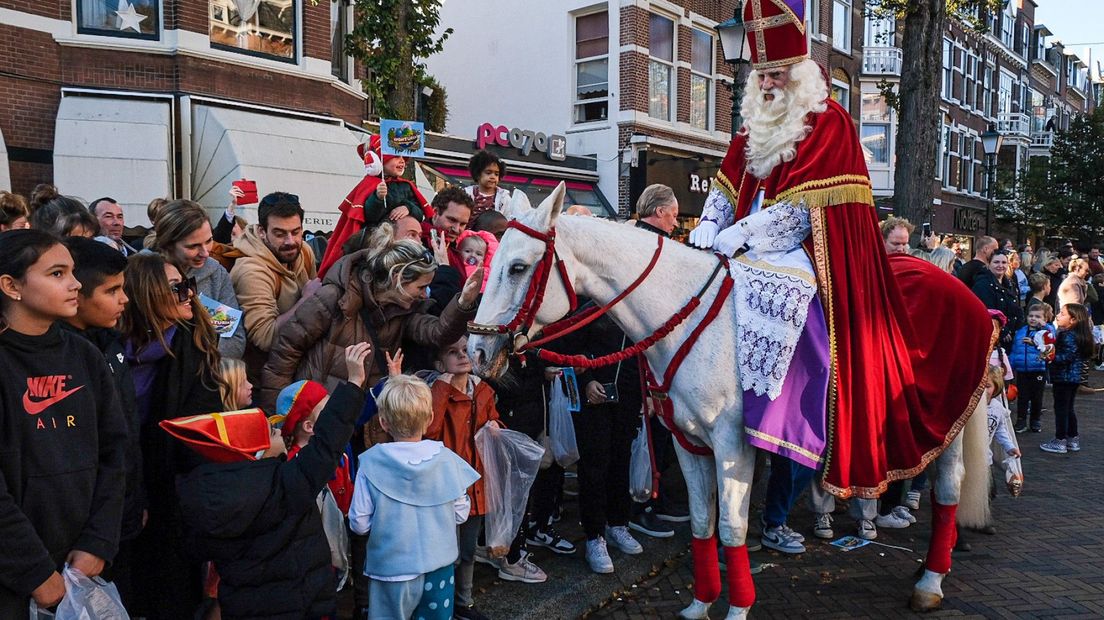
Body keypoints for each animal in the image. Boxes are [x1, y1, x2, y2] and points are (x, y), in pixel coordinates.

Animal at [470, 184, 989, 617]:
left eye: (518, 267)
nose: (476, 351)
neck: (688, 316)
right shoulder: (687, 442)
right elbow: (703, 522)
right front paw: (700, 605)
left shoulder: (733, 447)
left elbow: (731, 529)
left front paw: (737, 608)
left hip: (947, 426)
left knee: (949, 487)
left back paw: (930, 582)